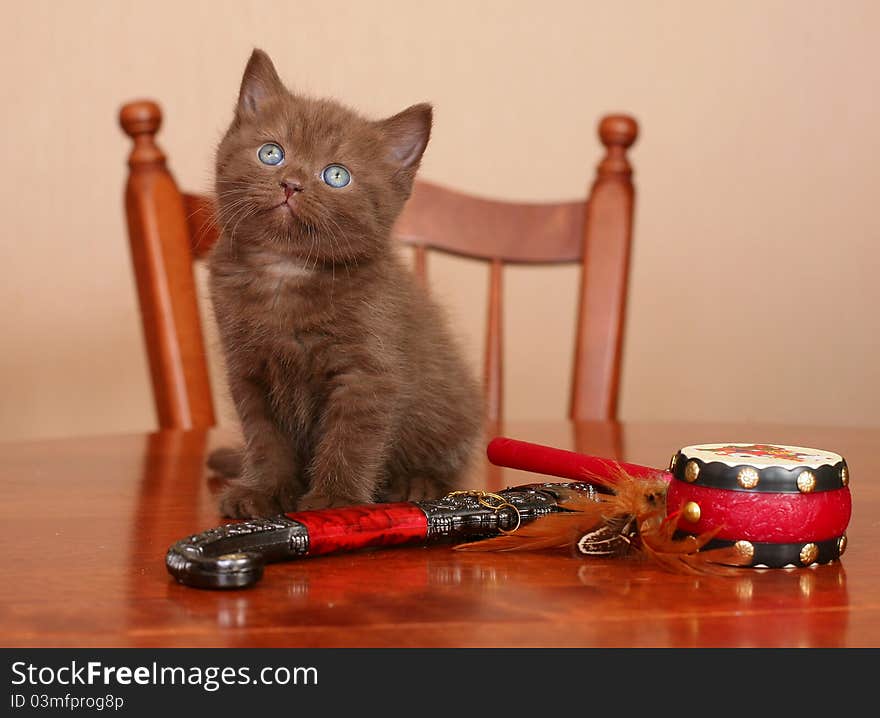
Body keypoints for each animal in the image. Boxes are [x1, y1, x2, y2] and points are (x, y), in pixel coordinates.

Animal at [205, 49, 482, 516]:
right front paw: (262, 491)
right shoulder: (248, 372)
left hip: (451, 412)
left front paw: (335, 502)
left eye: (336, 176)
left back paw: (417, 482)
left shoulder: (367, 374)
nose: (291, 184)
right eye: (271, 153)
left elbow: (349, 441)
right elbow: (264, 439)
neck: (286, 272)